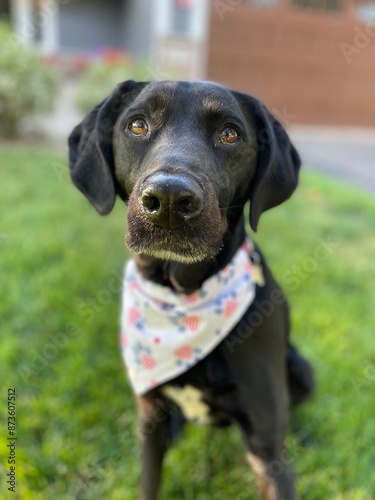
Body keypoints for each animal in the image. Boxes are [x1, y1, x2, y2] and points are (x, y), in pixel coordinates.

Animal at [68, 80, 314, 498]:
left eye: (230, 134)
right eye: (137, 125)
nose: (168, 199)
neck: (182, 300)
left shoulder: (267, 453)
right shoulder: (149, 424)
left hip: (300, 368)